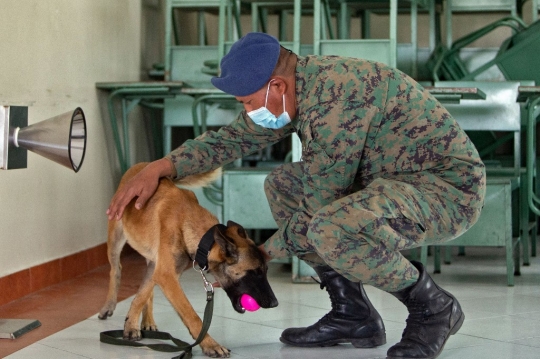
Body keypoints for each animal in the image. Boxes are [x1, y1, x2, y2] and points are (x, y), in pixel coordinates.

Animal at [97, 163, 280, 358]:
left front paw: (130, 324)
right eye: (254, 273)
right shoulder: (166, 275)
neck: (187, 221)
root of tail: (142, 165)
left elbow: (141, 295)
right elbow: (191, 314)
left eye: (265, 272)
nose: (274, 303)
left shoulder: (164, 272)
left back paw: (147, 321)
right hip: (116, 238)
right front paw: (211, 344)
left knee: (147, 290)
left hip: (151, 260)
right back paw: (109, 306)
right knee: (116, 270)